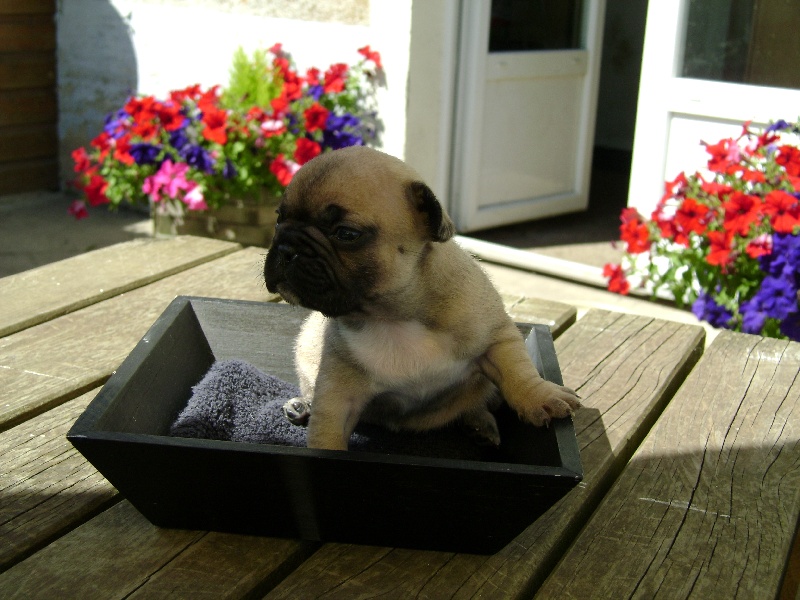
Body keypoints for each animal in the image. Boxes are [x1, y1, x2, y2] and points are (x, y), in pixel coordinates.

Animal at [264, 146, 581, 451]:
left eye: (346, 234)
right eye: (278, 218)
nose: (286, 247)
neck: (391, 316)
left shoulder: (496, 337)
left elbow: (518, 370)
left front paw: (541, 396)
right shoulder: (338, 395)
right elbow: (327, 433)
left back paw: (480, 423)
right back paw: (301, 405)